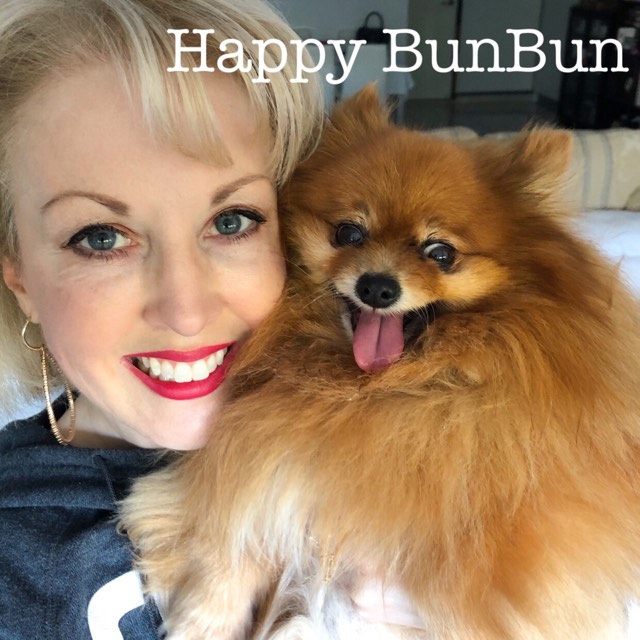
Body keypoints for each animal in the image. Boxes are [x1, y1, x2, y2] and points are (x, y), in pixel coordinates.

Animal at [121, 86, 640, 639]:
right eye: (349, 234)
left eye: (440, 253)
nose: (377, 286)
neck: (371, 389)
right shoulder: (261, 472)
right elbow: (236, 541)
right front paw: (202, 621)